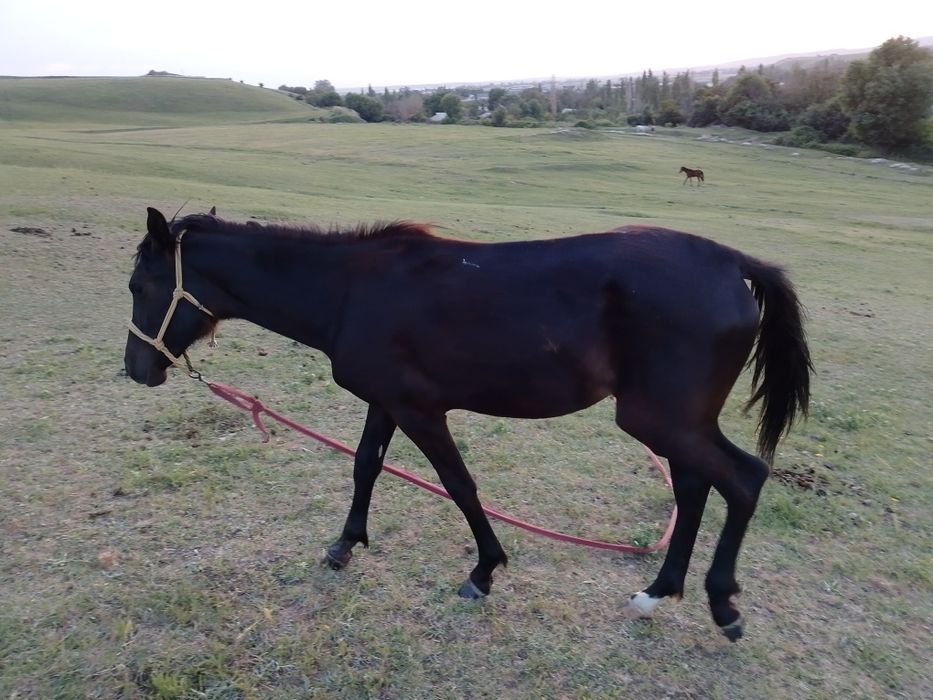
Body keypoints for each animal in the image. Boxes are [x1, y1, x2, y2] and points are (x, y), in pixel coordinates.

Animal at [124, 207, 812, 641]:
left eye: (139, 285)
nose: (136, 370)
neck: (353, 289)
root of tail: (731, 264)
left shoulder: (421, 410)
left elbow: (459, 485)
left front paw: (484, 572)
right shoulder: (385, 402)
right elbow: (366, 466)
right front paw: (345, 545)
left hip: (661, 417)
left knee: (743, 478)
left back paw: (722, 604)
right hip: (673, 420)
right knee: (696, 486)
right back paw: (658, 591)